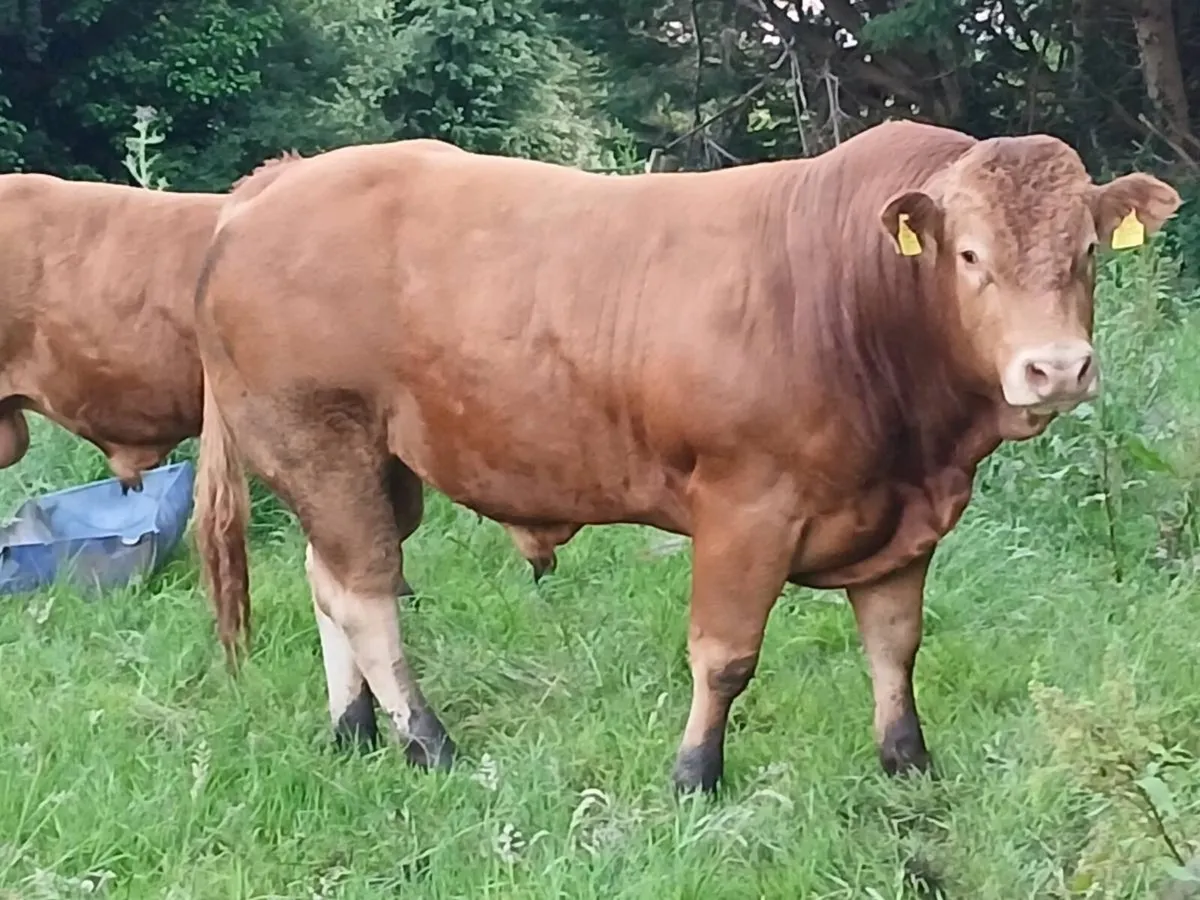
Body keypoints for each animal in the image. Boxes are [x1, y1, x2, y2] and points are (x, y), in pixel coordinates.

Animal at [191, 119, 1181, 794]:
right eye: (970, 255)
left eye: (1087, 251)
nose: (1056, 367)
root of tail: (282, 181)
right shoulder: (747, 508)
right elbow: (725, 653)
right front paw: (695, 772)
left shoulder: (901, 518)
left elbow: (895, 644)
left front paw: (907, 762)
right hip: (321, 439)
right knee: (366, 595)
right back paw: (427, 741)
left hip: (370, 467)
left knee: (328, 580)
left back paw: (353, 727)